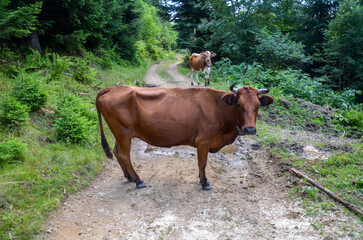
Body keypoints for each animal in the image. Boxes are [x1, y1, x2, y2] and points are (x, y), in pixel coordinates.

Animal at [95, 83, 274, 190]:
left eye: (258, 106)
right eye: (239, 105)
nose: (250, 129)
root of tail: (113, 88)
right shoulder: (203, 141)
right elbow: (202, 163)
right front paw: (204, 183)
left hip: (120, 133)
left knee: (117, 152)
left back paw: (129, 177)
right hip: (124, 132)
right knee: (124, 155)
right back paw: (138, 181)